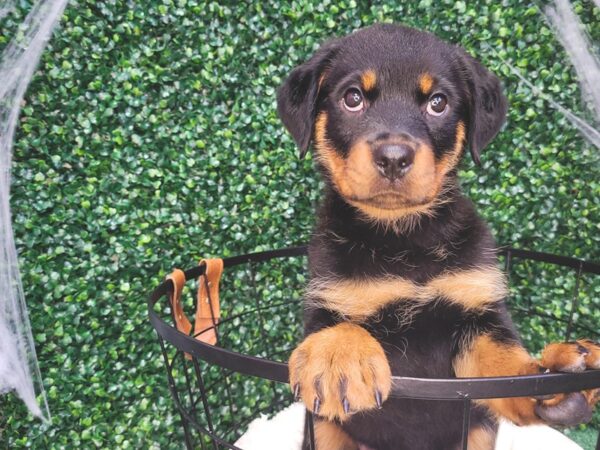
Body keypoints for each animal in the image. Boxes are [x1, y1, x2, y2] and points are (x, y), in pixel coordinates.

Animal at [276, 23, 600, 450]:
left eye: (438, 103)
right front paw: (338, 360)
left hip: (477, 431)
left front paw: (552, 372)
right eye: (352, 98)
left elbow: (503, 362)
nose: (394, 157)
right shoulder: (329, 289)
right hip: (327, 431)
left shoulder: (475, 313)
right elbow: (336, 322)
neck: (404, 236)